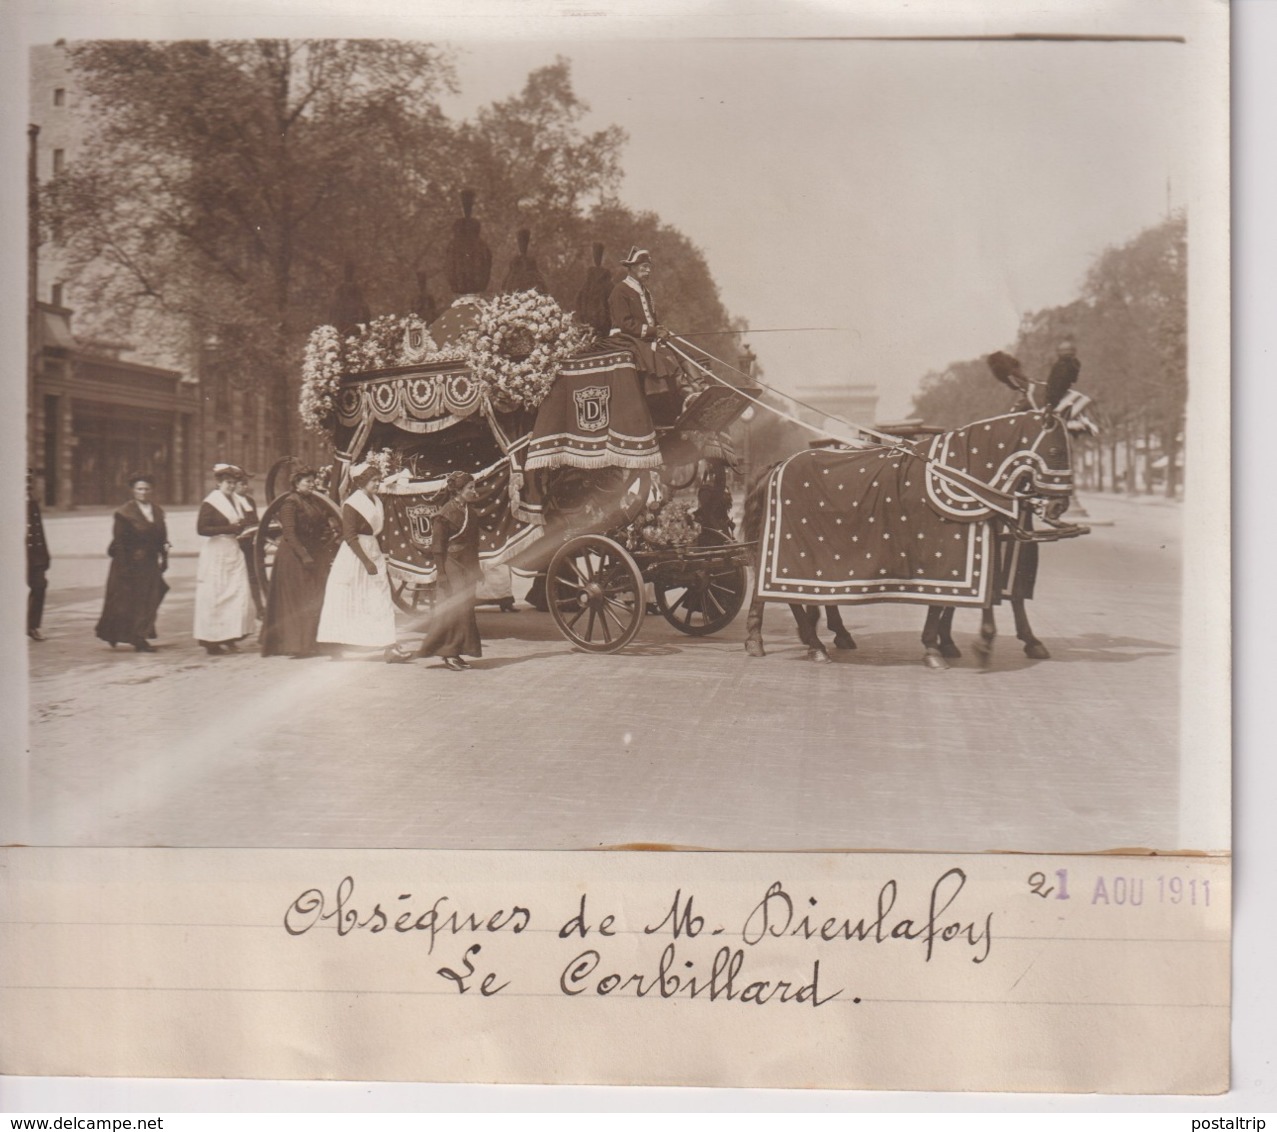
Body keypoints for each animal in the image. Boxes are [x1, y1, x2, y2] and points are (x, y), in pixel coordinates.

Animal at [740, 408, 1077, 669]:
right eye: (1057, 451)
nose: (1060, 506)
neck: (959, 473)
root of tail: (778, 465)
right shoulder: (942, 552)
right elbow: (945, 604)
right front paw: (939, 646)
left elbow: (967, 599)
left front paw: (970, 642)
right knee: (790, 598)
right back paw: (813, 645)